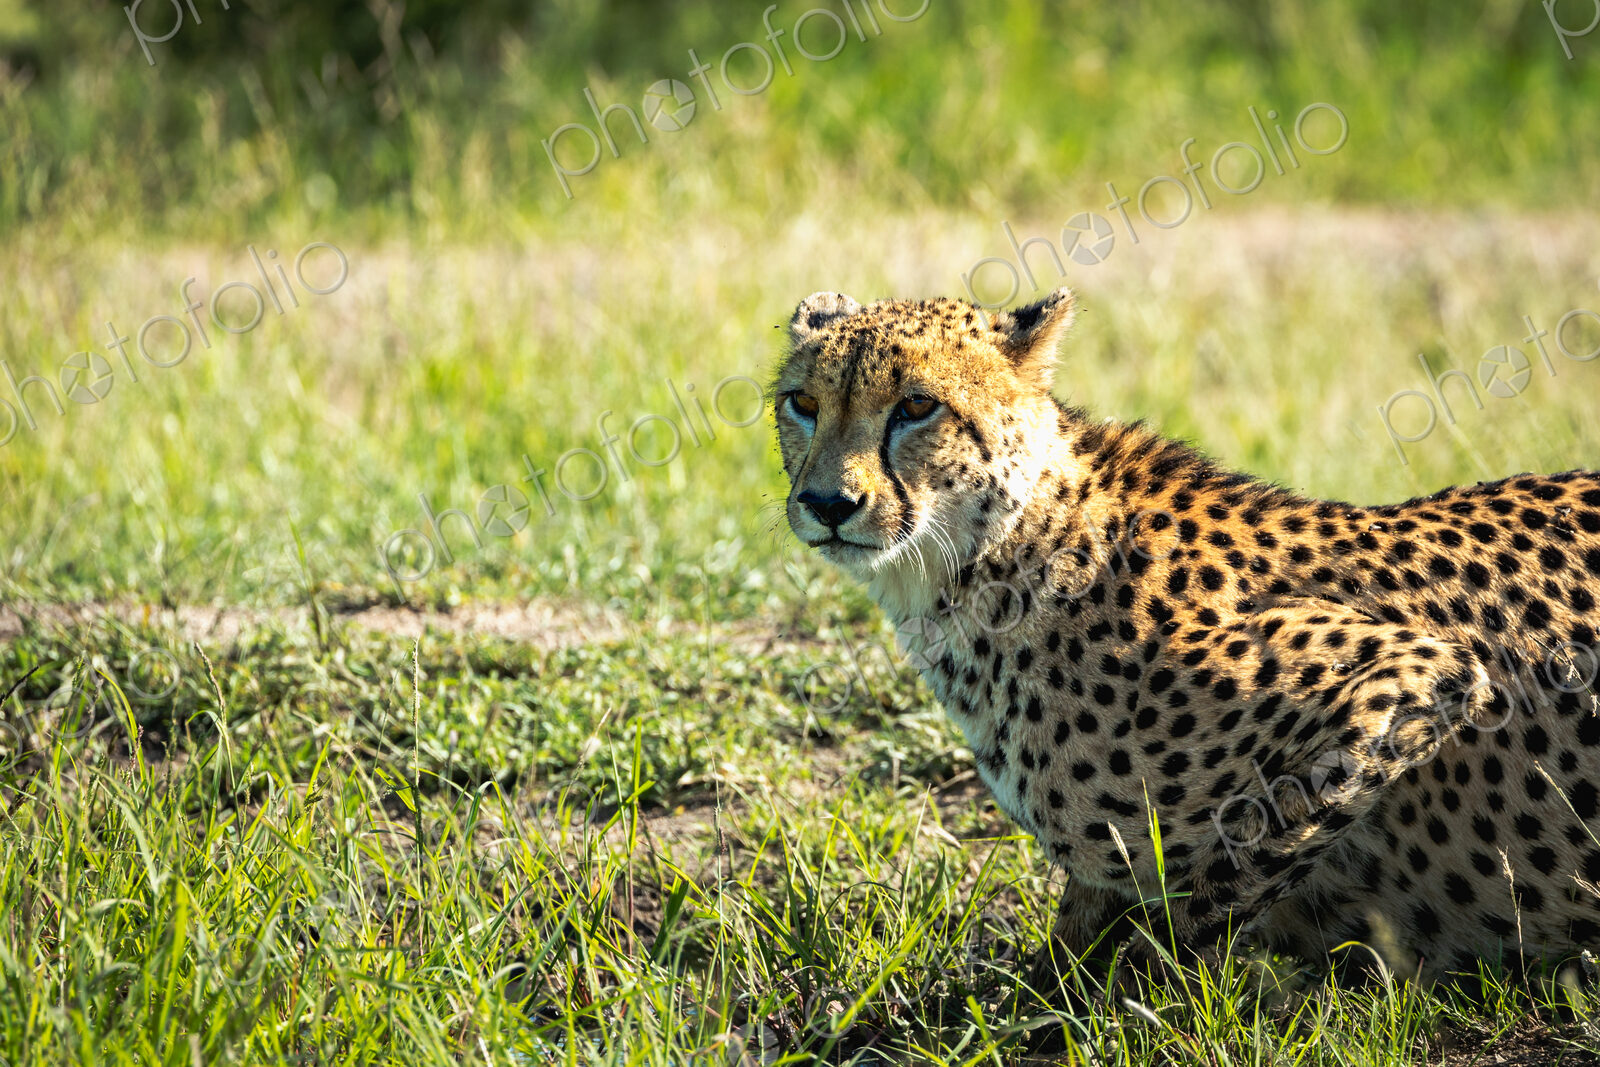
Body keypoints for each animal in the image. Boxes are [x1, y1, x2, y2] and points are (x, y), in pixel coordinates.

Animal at [770, 285, 1600, 989]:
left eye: (917, 405)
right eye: (802, 403)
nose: (826, 503)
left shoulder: (1414, 671)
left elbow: (1223, 874)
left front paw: (1116, 999)